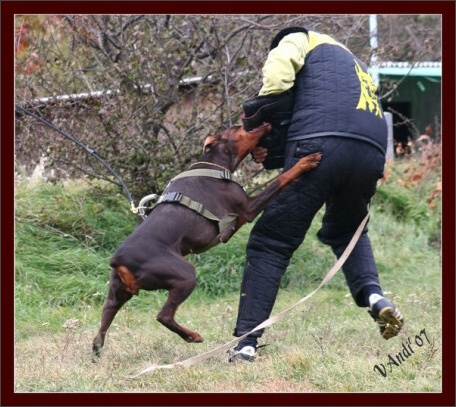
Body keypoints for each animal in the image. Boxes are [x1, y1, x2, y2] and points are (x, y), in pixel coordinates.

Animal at [92, 122, 320, 358]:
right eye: (238, 127)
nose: (265, 124)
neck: (215, 163)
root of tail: (119, 260)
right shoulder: (249, 207)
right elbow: (281, 179)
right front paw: (305, 162)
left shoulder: (238, 218)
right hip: (185, 275)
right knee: (163, 315)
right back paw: (192, 336)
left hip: (116, 295)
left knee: (101, 328)